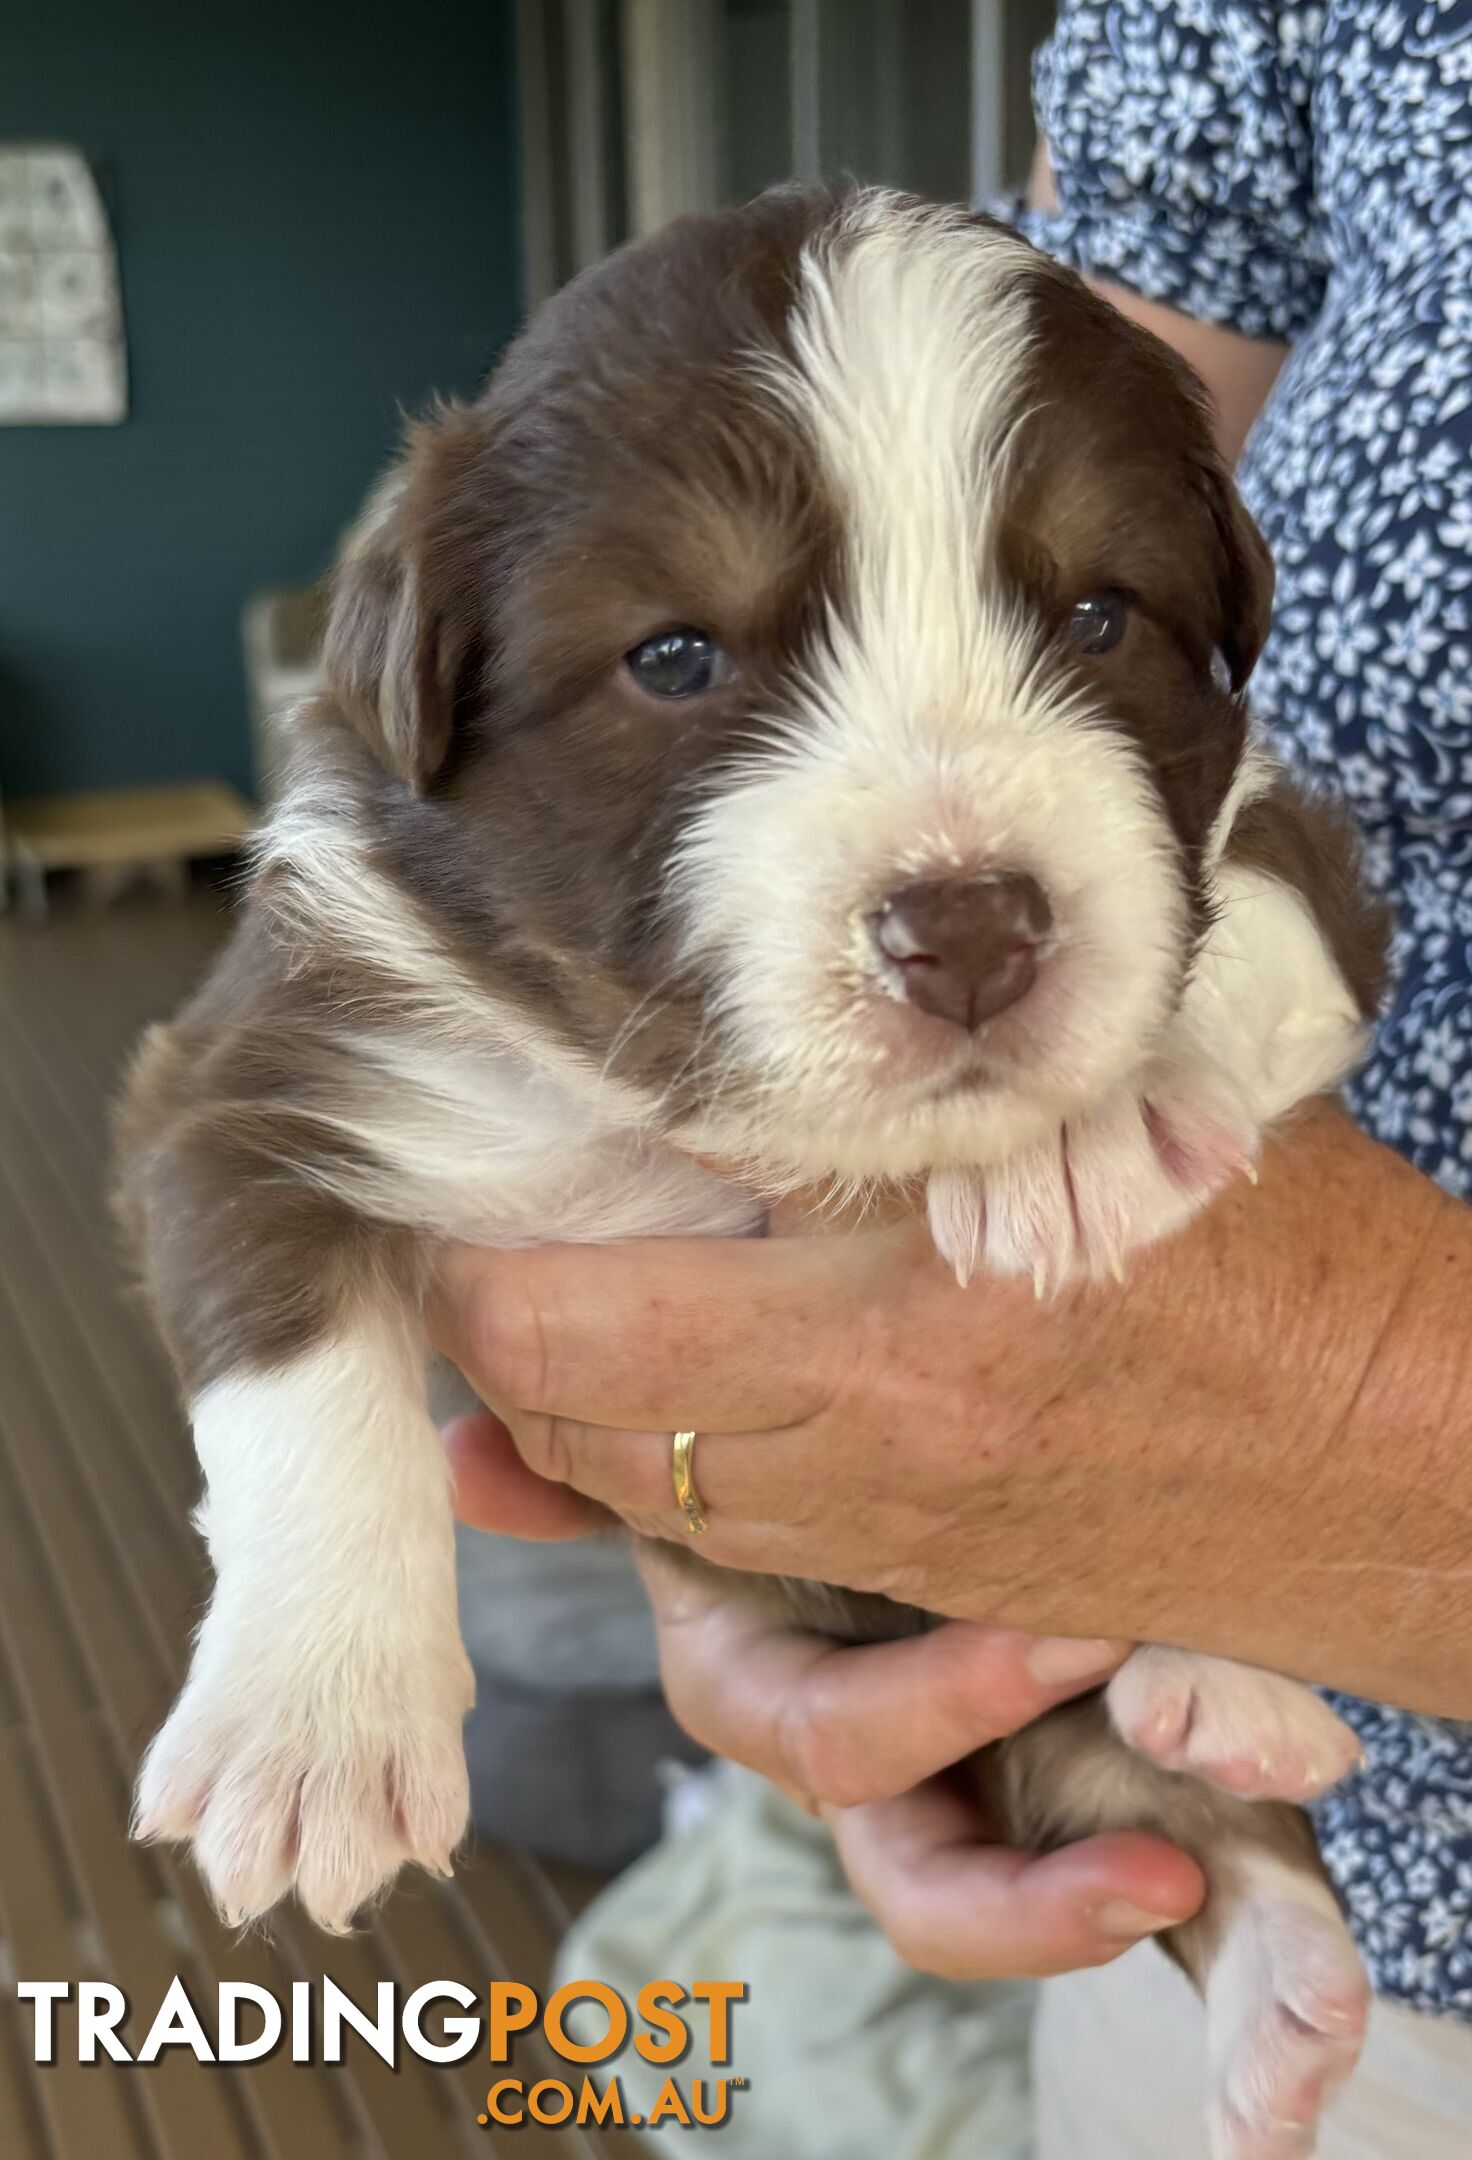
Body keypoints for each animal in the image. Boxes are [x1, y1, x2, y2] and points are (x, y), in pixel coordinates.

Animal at [120, 190, 1383, 2160]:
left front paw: (1089, 1120)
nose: (969, 927)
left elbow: (1251, 918)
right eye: (675, 658)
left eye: (1100, 615)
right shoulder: (254, 1075)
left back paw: (1234, 1716)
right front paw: (312, 1728)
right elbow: (302, 1386)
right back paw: (1274, 1961)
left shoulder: (1318, 853)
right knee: (1133, 1805)